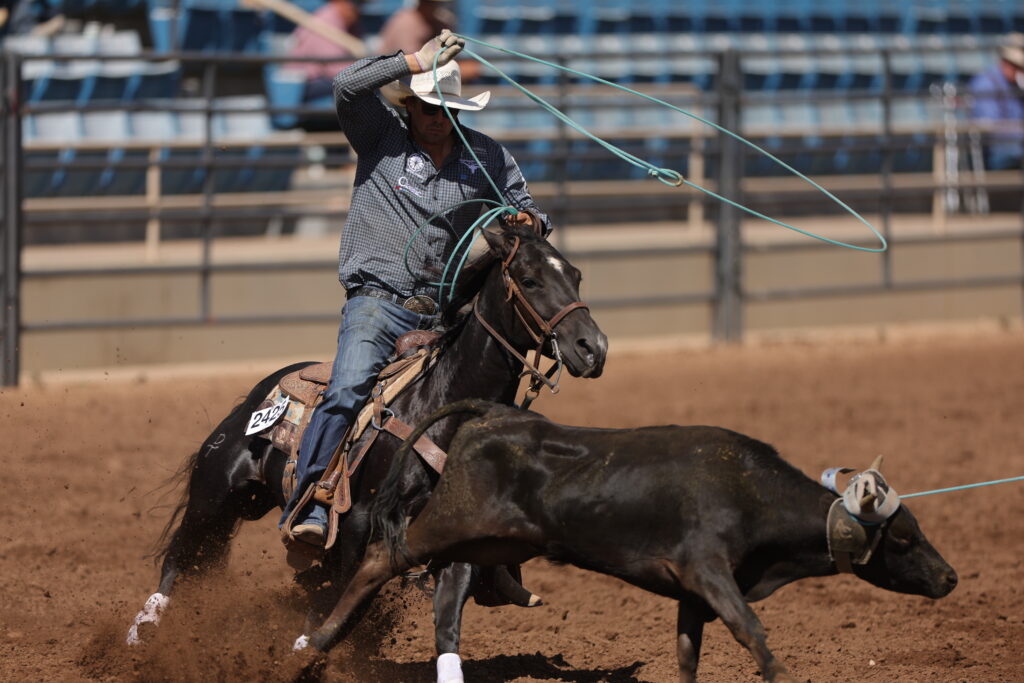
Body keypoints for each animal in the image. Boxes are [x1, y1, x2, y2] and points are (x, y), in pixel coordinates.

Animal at [126, 223, 608, 682]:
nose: (593, 348)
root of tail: (257, 396)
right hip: (215, 497)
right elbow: (342, 605)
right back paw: (141, 634)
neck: (437, 408)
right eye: (529, 280)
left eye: (576, 277)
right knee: (180, 558)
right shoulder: (358, 527)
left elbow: (446, 617)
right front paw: (304, 656)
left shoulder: (452, 543)